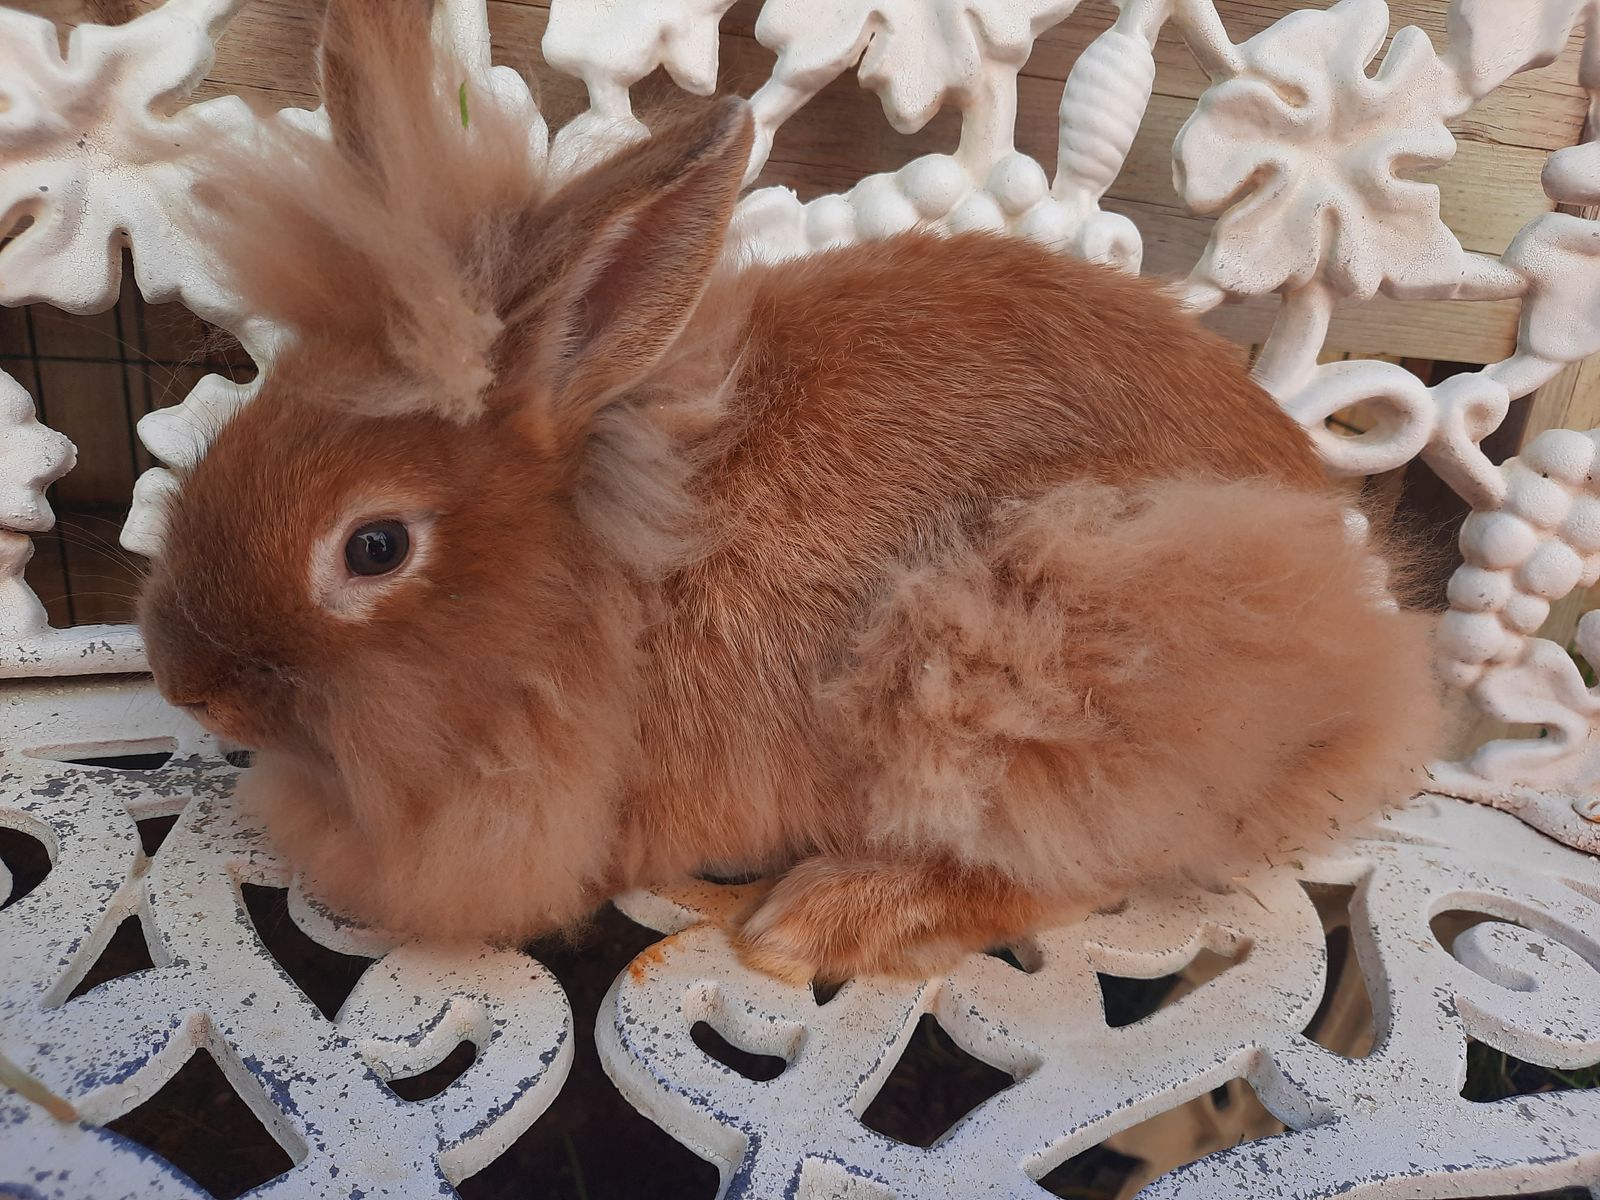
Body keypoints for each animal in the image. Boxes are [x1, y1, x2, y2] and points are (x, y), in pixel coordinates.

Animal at [137, 0, 1444, 983]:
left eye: (373, 548)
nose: (186, 683)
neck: (602, 571)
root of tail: (1357, 655)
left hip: (1032, 637)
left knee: (1070, 861)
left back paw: (824, 916)